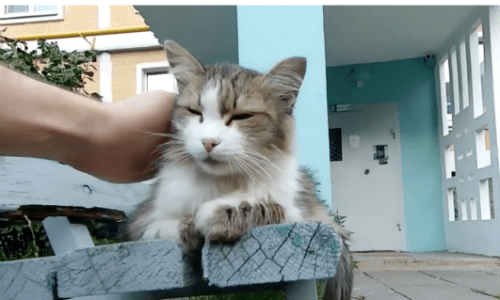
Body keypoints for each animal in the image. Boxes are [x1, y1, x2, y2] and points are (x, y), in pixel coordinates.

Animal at [127, 40, 354, 300]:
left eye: (242, 116)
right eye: (195, 112)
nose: (208, 142)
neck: (220, 183)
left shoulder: (301, 214)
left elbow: (260, 205)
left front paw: (213, 215)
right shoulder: (142, 221)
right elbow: (163, 226)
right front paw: (189, 226)